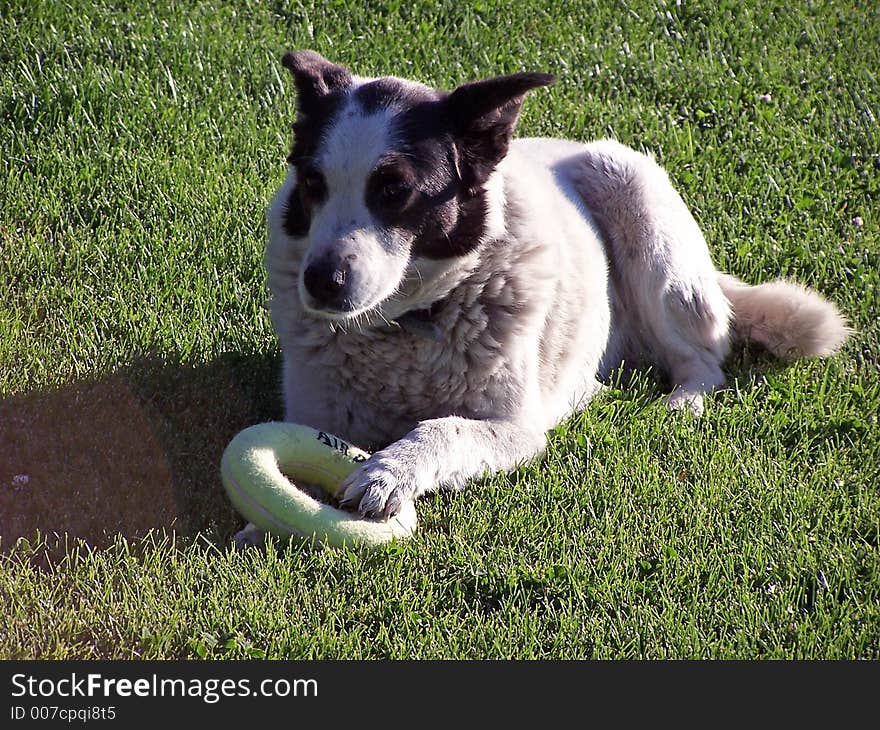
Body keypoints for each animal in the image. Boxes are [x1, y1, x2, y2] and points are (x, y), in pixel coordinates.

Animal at [232, 48, 844, 544]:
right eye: (314, 185)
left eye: (394, 191)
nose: (320, 282)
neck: (411, 323)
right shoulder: (315, 412)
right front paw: (258, 528)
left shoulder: (514, 430)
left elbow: (443, 428)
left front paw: (388, 472)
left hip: (642, 218)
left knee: (706, 360)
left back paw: (679, 404)